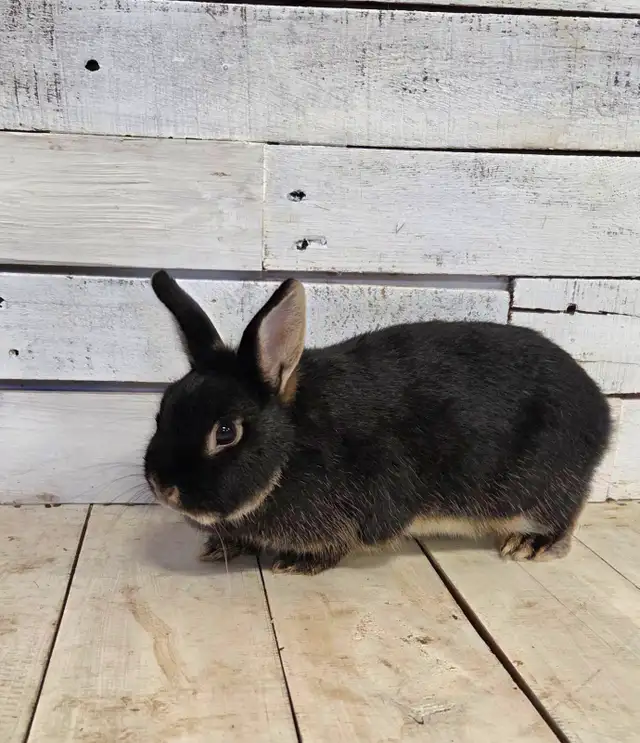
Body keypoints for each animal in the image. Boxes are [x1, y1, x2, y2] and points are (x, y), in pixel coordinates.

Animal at [144, 271, 611, 575]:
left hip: (540, 486)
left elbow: (340, 545)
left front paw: (295, 563)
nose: (163, 488)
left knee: (564, 512)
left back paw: (532, 544)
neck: (292, 448)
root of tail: (601, 410)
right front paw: (219, 548)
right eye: (162, 410)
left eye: (226, 432)